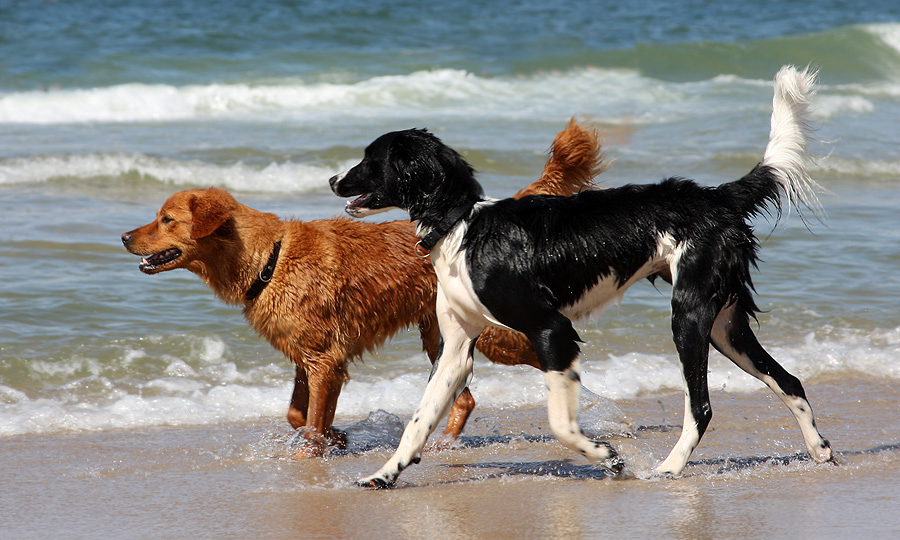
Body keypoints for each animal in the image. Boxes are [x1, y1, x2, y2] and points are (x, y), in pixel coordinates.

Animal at [121, 120, 604, 454]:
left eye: (167, 219)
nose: (124, 237)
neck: (270, 259)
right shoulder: (310, 358)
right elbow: (298, 414)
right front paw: (336, 437)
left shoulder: (325, 360)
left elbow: (310, 423)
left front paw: (316, 451)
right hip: (441, 335)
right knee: (464, 399)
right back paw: (442, 443)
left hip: (494, 335)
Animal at [332, 65, 836, 488]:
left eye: (370, 159)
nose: (335, 180)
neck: (463, 226)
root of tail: (717, 197)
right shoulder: (455, 349)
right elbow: (418, 422)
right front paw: (384, 474)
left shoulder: (552, 331)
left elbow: (561, 423)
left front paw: (607, 457)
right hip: (725, 326)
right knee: (789, 382)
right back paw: (820, 452)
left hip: (690, 317)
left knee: (702, 406)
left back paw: (669, 468)